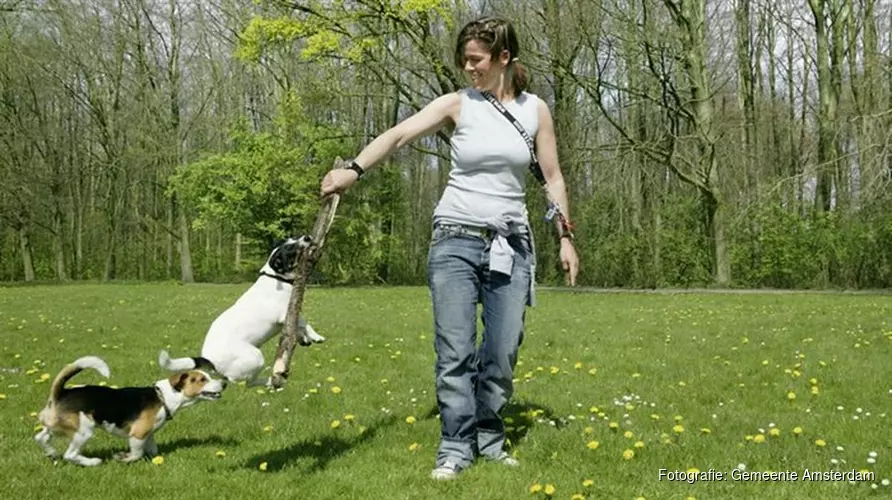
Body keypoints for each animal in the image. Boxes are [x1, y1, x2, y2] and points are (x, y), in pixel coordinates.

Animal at [159, 236, 326, 388]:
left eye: (292, 237)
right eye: (291, 249)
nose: (307, 237)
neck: (276, 278)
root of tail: (209, 359)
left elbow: (297, 328)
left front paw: (304, 338)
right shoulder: (285, 314)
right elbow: (304, 322)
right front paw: (316, 336)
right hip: (255, 357)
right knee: (244, 382)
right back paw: (270, 381)